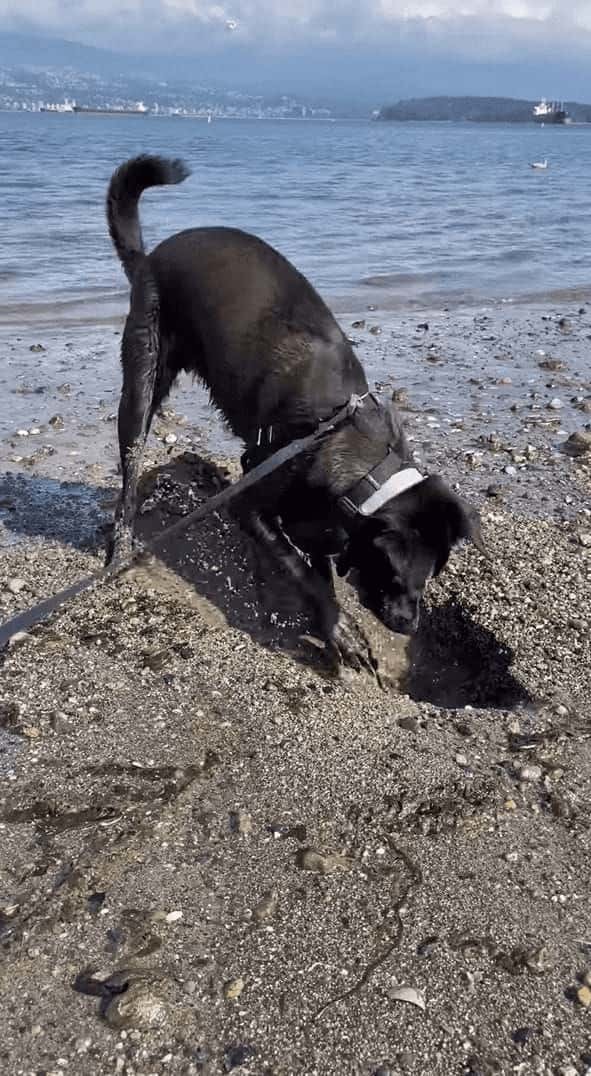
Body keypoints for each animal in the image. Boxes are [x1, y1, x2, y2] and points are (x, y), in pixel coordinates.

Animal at [106, 154, 484, 667]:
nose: (410, 626)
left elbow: (318, 561)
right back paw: (121, 545)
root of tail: (149, 259)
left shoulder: (322, 521)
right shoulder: (253, 500)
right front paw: (339, 629)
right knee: (129, 472)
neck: (349, 442)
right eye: (398, 576)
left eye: (431, 579)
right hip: (143, 380)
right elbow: (300, 570)